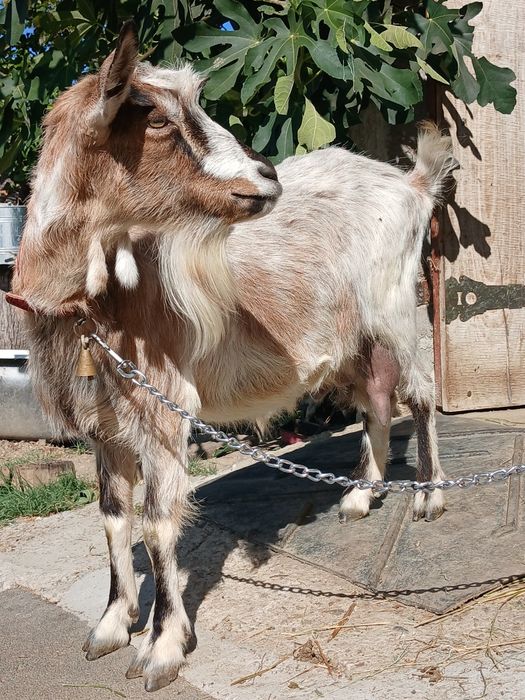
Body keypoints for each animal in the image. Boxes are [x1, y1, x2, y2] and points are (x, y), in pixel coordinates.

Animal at [11, 22, 456, 692]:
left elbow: (157, 521)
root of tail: (410, 183)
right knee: (377, 401)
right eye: (155, 117)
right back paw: (358, 496)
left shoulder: (162, 405)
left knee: (422, 395)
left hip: (398, 304)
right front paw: (112, 625)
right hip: (349, 332)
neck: (88, 307)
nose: (266, 176)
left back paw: (429, 497)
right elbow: (113, 515)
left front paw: (163, 647)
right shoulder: (102, 422)